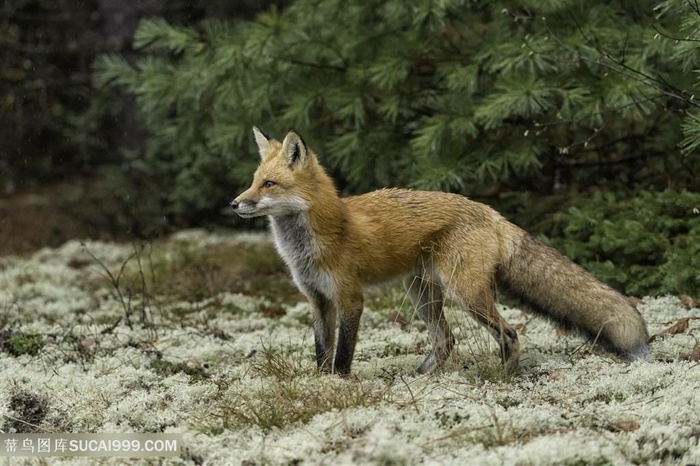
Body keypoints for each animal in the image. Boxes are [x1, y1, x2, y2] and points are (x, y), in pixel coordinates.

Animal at [231, 127, 652, 374]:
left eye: (269, 184)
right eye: (252, 181)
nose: (235, 203)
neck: (312, 243)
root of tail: (491, 212)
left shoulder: (350, 297)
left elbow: (343, 353)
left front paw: (339, 385)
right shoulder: (317, 300)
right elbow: (322, 350)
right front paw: (320, 384)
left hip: (465, 294)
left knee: (509, 332)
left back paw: (503, 377)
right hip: (422, 295)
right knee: (446, 341)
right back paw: (422, 378)